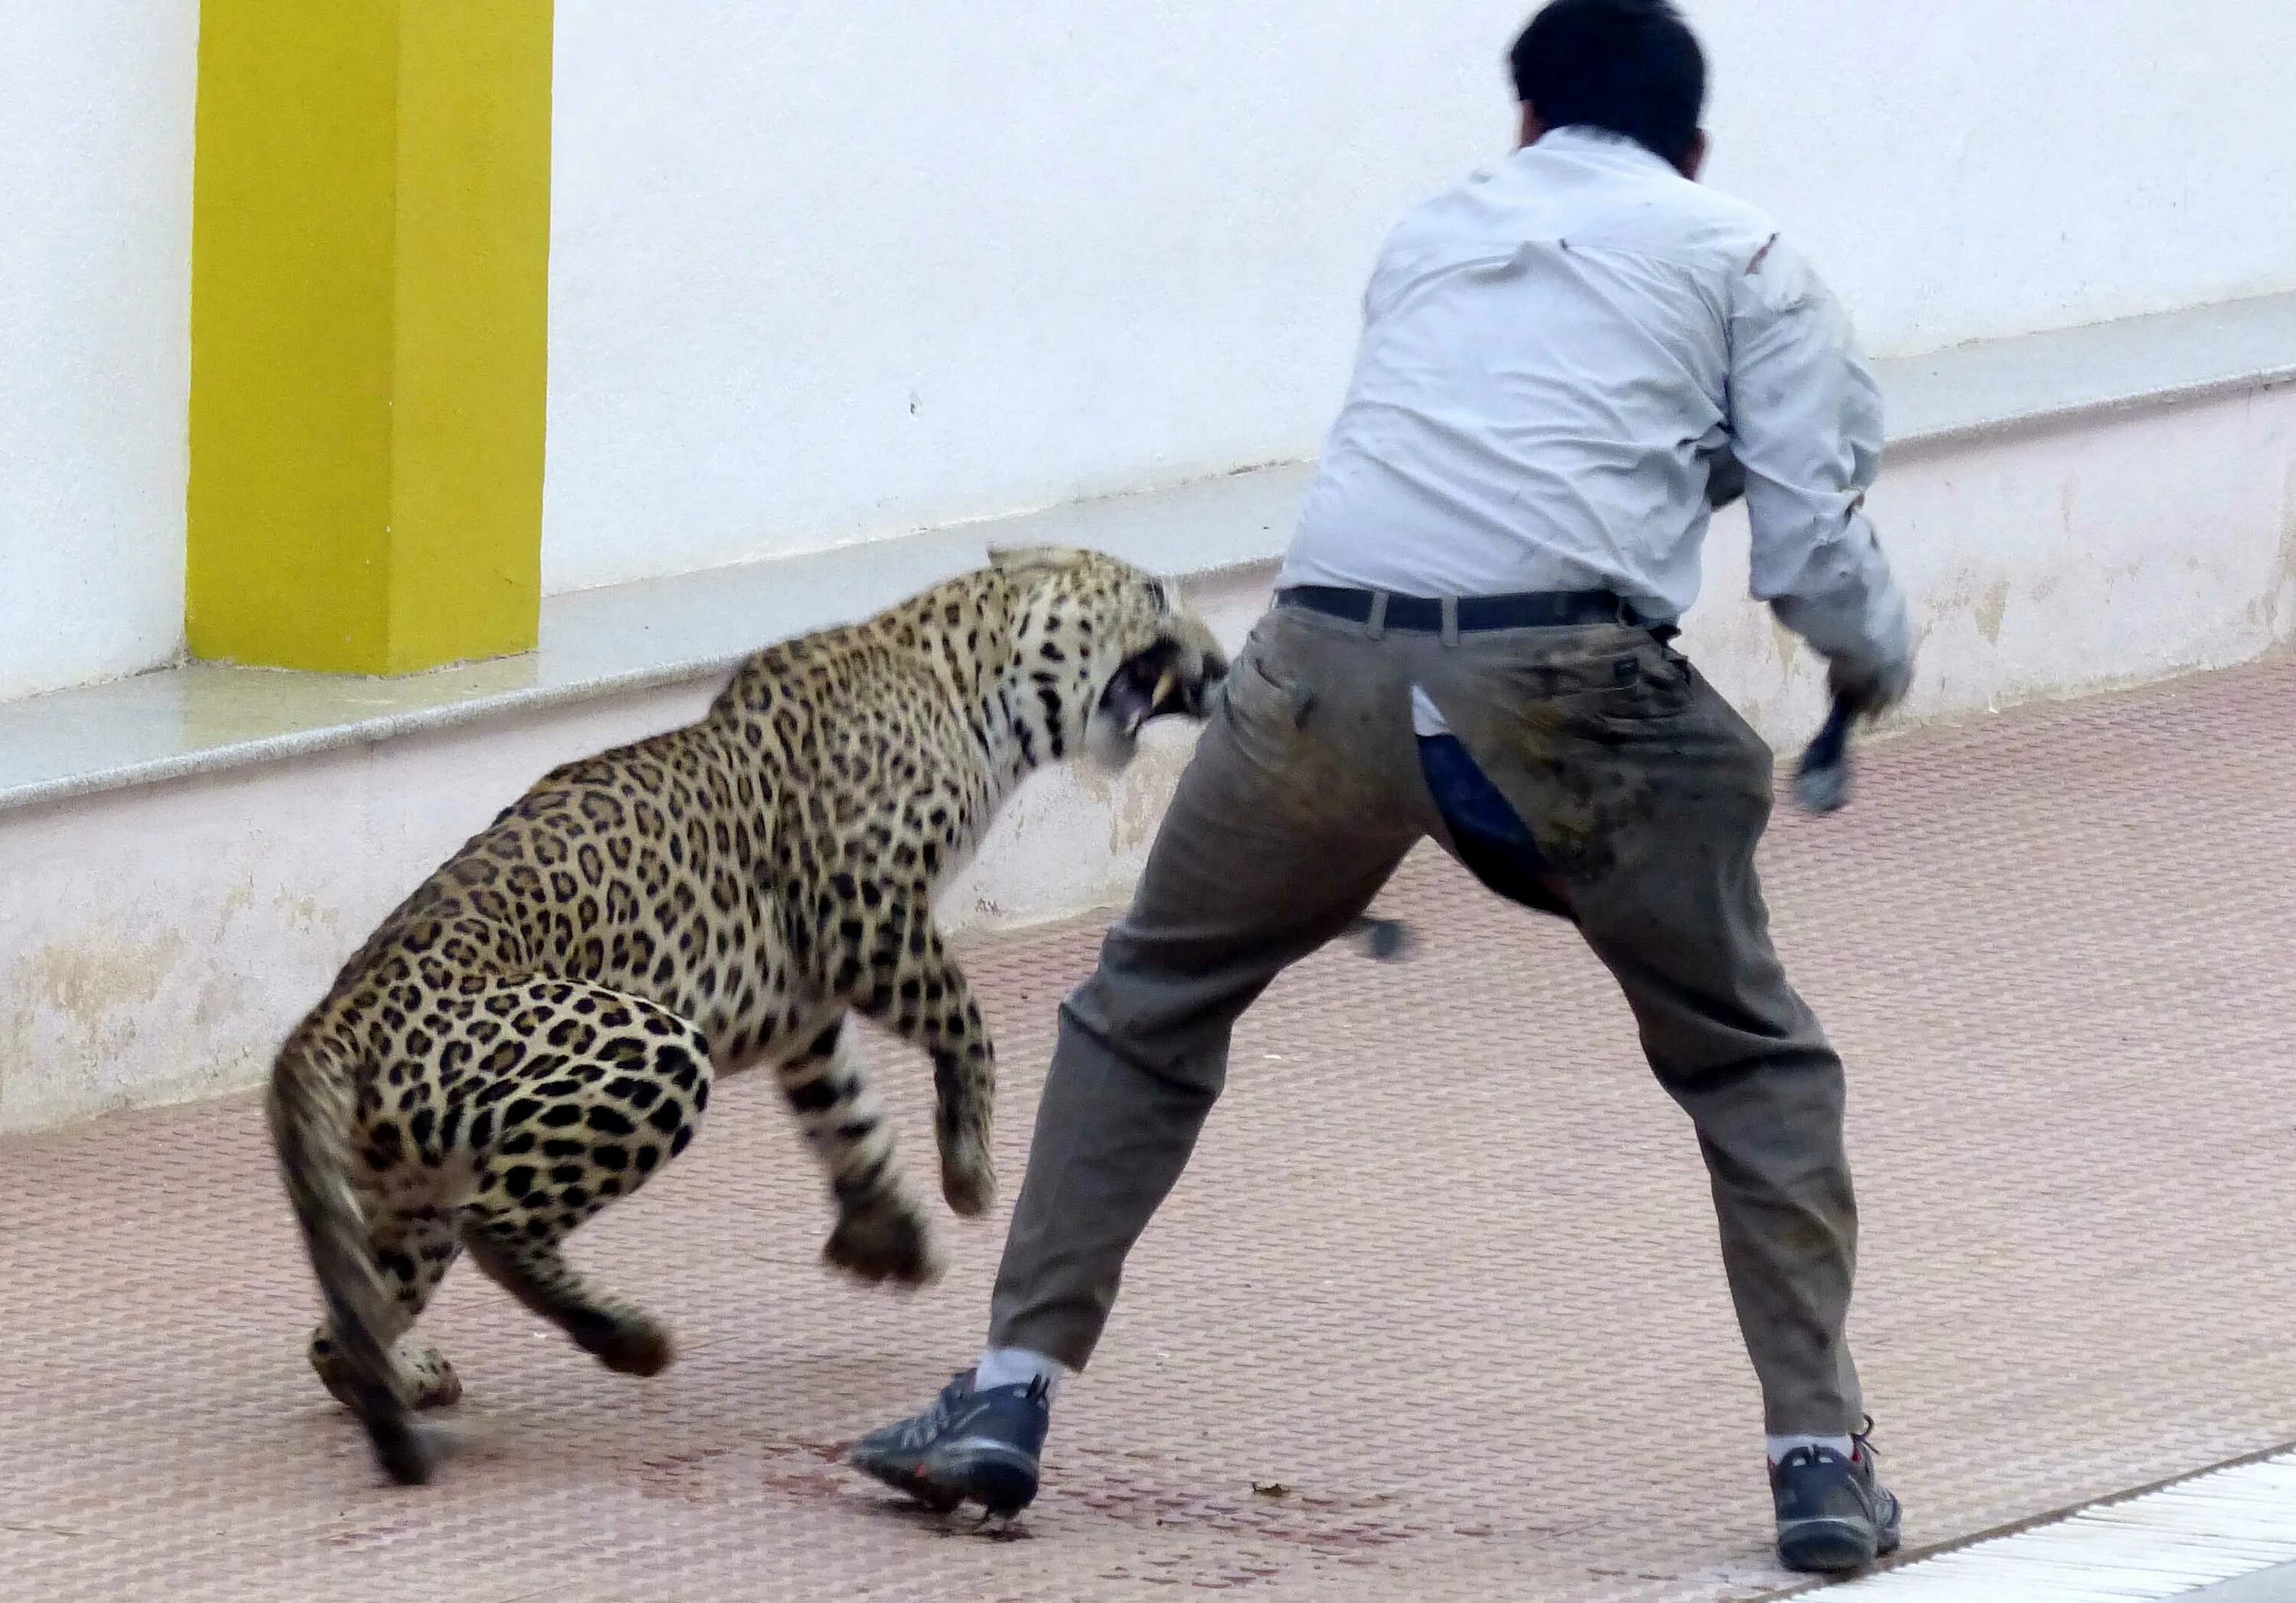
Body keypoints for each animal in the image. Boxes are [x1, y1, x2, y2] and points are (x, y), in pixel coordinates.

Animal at [264, 544, 1240, 1479]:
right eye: (1156, 594)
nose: (1224, 665)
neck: (968, 685)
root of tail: (326, 1025)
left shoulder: (806, 1002)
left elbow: (845, 1110)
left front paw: (888, 1233)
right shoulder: (862, 914)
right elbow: (967, 1025)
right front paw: (968, 1173)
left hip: (413, 1192)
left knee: (342, 1329)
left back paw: (404, 1375)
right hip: (650, 1048)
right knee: (498, 1228)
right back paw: (630, 1339)